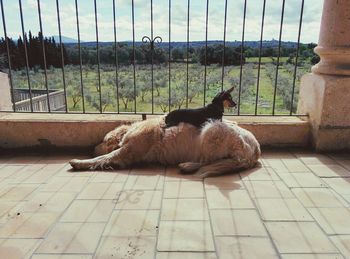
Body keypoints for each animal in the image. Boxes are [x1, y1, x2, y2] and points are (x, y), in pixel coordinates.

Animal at [69, 116, 260, 179]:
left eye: (103, 140)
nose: (92, 148)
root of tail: (256, 151)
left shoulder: (128, 151)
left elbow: (104, 158)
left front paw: (79, 162)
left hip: (212, 129)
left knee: (206, 161)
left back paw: (187, 165)